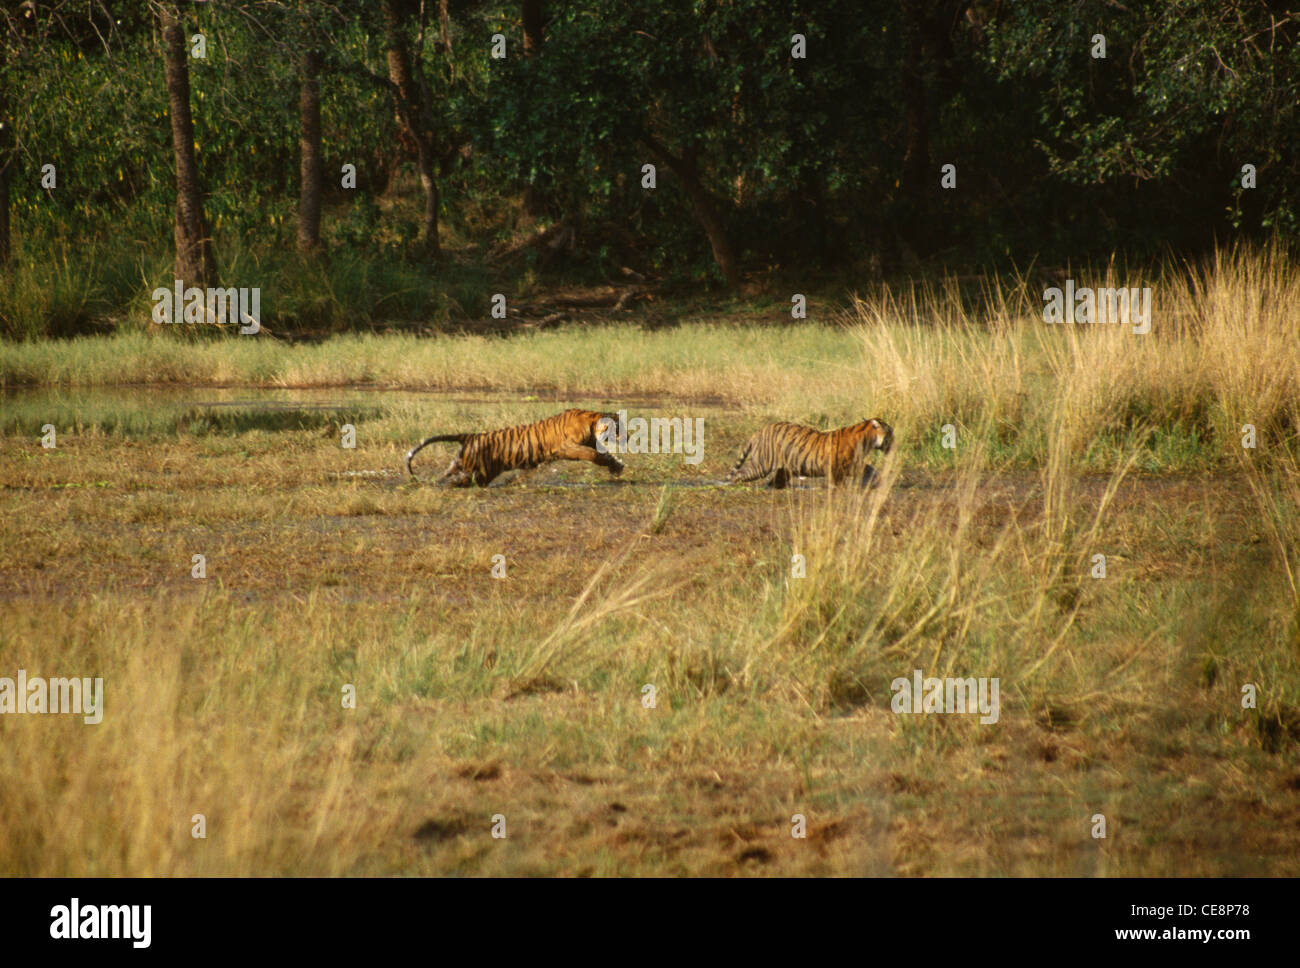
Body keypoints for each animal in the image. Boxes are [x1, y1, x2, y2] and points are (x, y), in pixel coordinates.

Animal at [405, 407, 629, 485]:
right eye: (619, 427)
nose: (627, 437)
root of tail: (470, 436)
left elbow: (607, 456)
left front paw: (617, 467)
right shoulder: (569, 447)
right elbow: (594, 455)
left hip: (472, 468)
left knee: (448, 475)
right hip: (476, 471)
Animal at [722, 418, 894, 485]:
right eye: (890, 433)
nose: (894, 443)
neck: (867, 441)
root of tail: (758, 431)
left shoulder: (854, 464)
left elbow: (870, 469)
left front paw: (879, 480)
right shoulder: (838, 468)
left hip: (785, 468)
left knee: (776, 482)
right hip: (761, 465)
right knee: (740, 473)